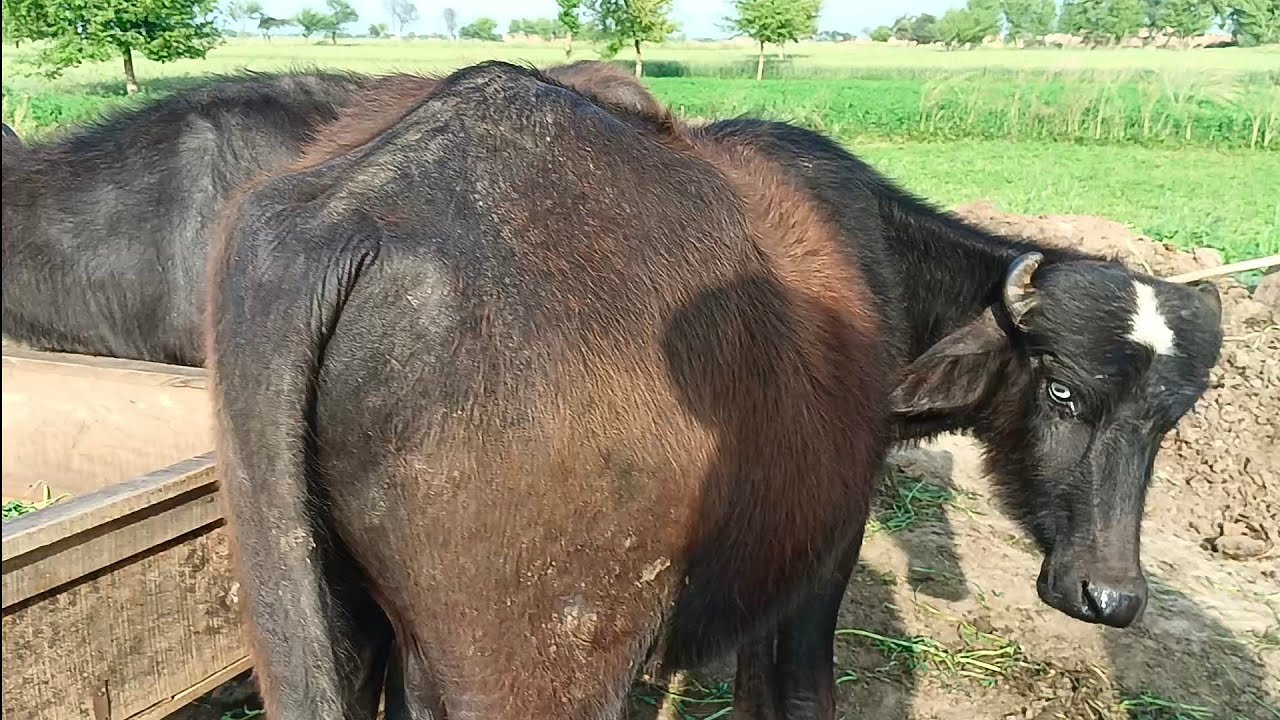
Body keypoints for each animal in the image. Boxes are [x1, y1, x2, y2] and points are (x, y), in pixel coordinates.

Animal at [207, 61, 1222, 719]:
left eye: (1168, 422)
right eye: (1063, 392)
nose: (1111, 597)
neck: (882, 276)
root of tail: (351, 218)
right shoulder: (825, 544)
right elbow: (796, 688)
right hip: (544, 667)